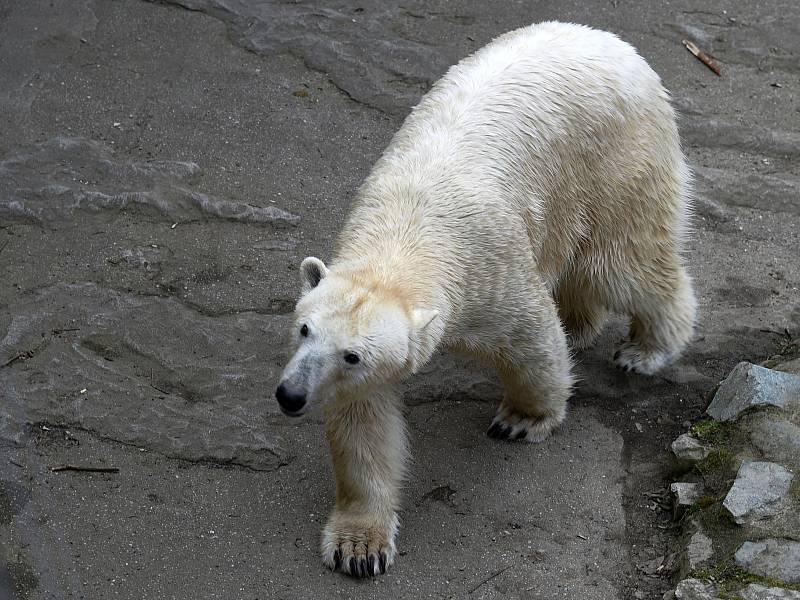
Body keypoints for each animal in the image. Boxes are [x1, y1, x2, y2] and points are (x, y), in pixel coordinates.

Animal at [274, 22, 692, 576]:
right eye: (304, 329)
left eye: (352, 354)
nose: (290, 395)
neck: (407, 228)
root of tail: (608, 39)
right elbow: (364, 423)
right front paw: (359, 546)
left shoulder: (490, 266)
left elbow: (530, 338)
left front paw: (522, 419)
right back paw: (581, 322)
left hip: (620, 156)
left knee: (624, 263)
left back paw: (647, 348)